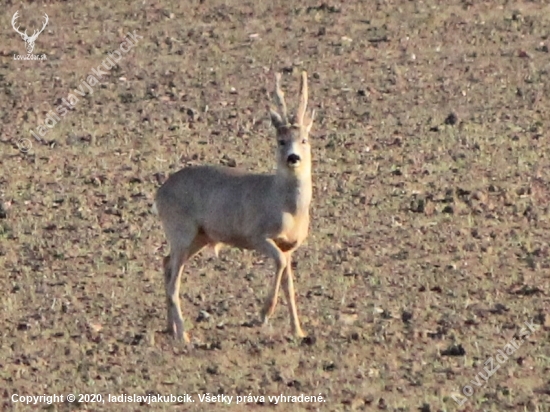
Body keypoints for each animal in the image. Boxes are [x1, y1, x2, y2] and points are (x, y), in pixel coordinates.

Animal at [153, 70, 316, 342]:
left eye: (304, 139)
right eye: (281, 140)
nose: (293, 158)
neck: (286, 207)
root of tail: (159, 192)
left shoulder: (289, 246)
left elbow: (289, 284)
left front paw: (298, 331)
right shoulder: (257, 235)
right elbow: (280, 264)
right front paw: (263, 314)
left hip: (198, 237)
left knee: (166, 264)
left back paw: (169, 328)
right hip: (181, 231)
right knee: (174, 279)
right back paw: (184, 336)